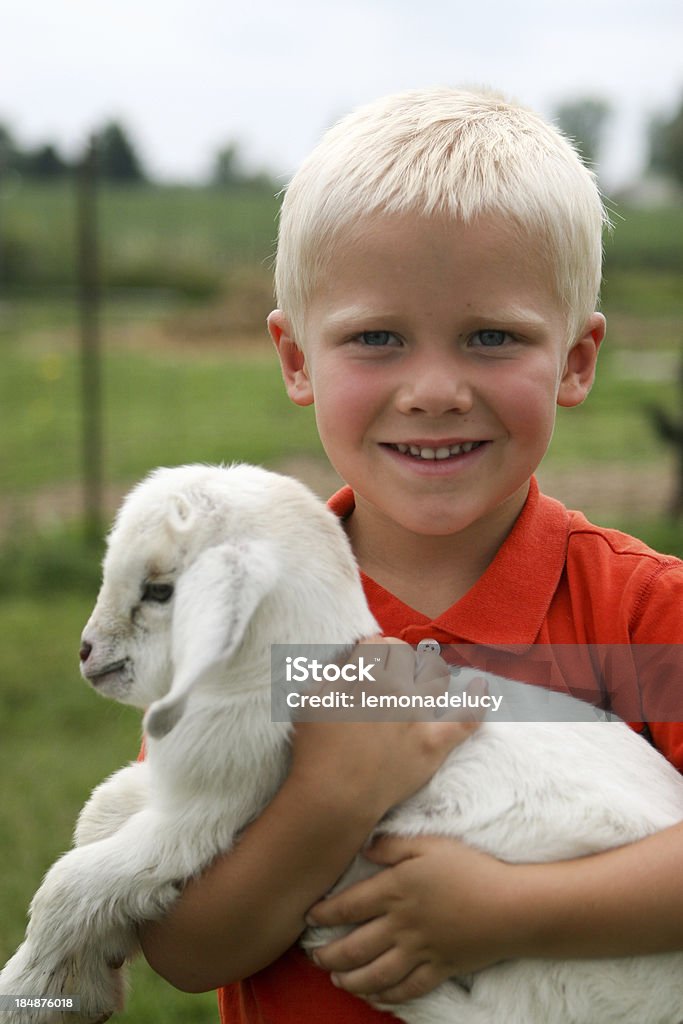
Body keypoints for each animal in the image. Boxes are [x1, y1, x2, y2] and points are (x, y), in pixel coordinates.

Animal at [1, 464, 683, 1024]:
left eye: (161, 591)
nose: (87, 654)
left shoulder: (201, 824)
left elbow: (74, 880)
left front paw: (36, 991)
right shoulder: (180, 794)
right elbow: (102, 810)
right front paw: (98, 963)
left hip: (553, 959)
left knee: (503, 1015)